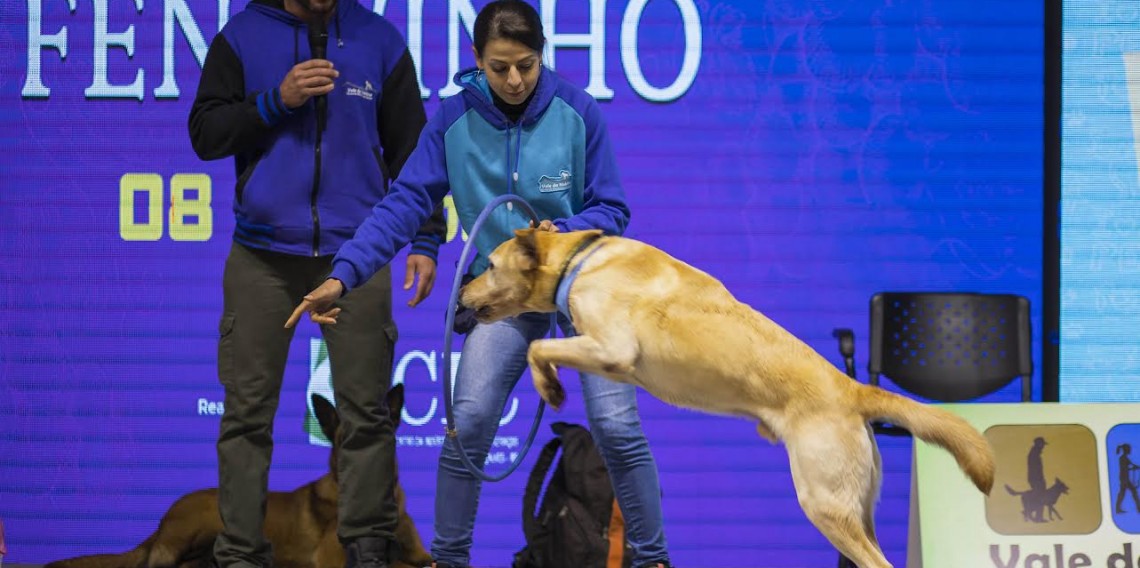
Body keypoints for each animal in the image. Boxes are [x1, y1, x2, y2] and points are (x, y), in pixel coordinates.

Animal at [45, 385, 430, 568]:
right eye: (341, 442)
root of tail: (158, 527)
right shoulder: (332, 559)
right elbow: (398, 565)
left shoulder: (422, 555)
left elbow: (421, 560)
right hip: (212, 521)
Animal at [460, 228, 998, 568]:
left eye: (490, 265)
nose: (461, 292)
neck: (579, 260)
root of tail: (853, 387)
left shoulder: (612, 348)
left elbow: (539, 347)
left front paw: (549, 386)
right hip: (856, 509)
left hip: (823, 501)